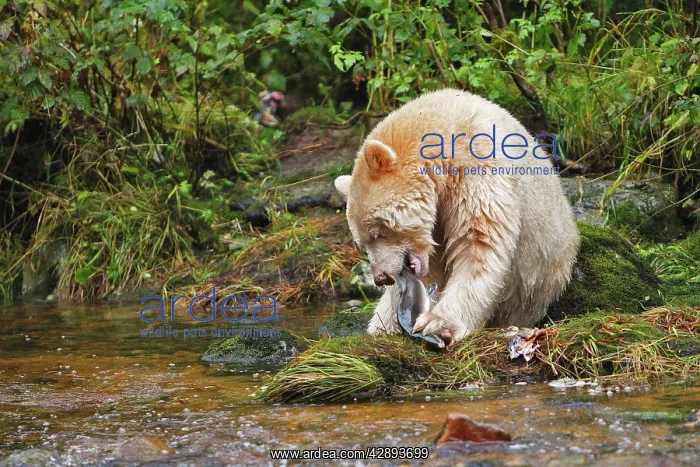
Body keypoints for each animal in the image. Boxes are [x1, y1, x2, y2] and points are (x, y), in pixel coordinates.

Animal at [334, 89, 579, 345]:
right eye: (362, 243)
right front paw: (389, 325)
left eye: (380, 232)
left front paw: (438, 324)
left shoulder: (477, 169)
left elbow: (479, 243)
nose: (382, 277)